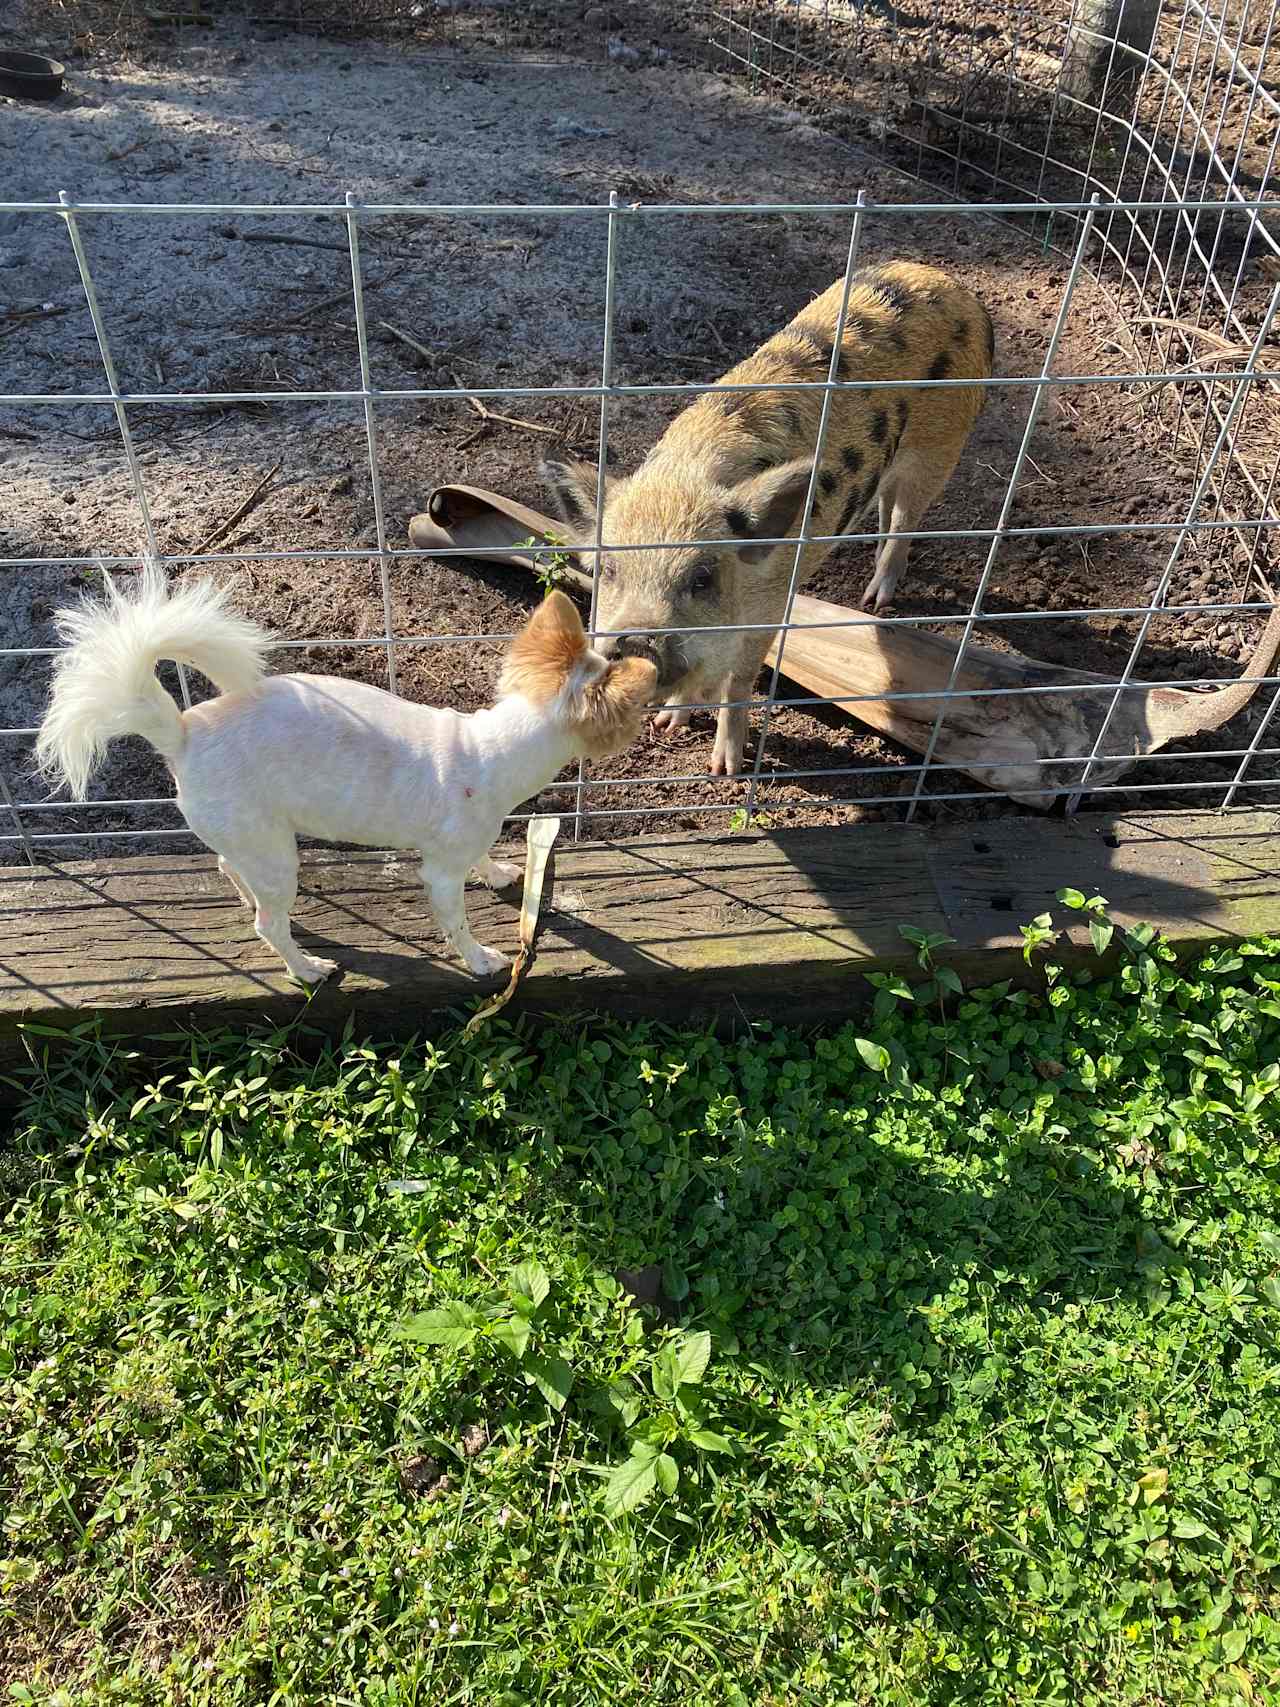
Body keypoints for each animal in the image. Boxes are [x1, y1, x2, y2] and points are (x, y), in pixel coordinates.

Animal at [37, 563, 662, 983]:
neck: (490, 747)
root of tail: (183, 732)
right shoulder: (440, 873)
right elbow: (456, 921)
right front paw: (481, 959)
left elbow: (485, 858)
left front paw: (500, 872)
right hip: (274, 854)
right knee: (269, 924)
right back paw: (307, 968)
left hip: (249, 839)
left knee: (228, 866)